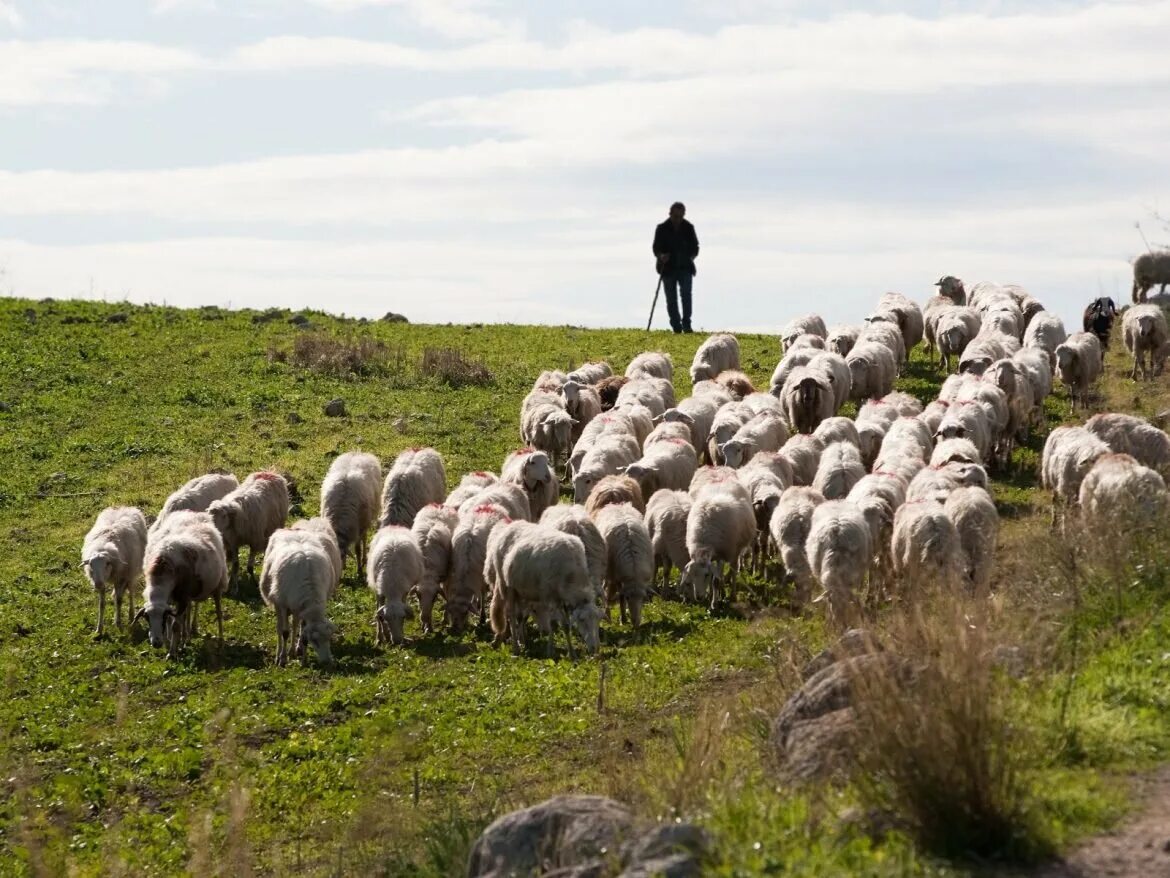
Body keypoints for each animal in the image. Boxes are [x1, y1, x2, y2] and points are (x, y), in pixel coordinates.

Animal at [81, 508, 148, 641]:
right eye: (90, 564)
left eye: (107, 563)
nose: (98, 584)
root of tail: (125, 507)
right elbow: (102, 604)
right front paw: (99, 629)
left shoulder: (121, 578)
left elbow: (119, 600)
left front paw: (118, 624)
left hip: (131, 573)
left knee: (130, 593)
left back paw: (131, 615)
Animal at [138, 508, 228, 655]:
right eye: (147, 618)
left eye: (162, 618)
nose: (156, 643)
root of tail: (195, 514)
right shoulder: (174, 598)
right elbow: (173, 621)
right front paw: (171, 643)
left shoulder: (182, 597)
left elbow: (175, 625)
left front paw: (172, 652)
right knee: (192, 608)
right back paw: (187, 636)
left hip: (217, 585)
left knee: (219, 613)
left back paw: (220, 641)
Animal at [260, 529, 339, 664]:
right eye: (315, 641)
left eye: (329, 638)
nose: (327, 661)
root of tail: (289, 530)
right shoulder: (283, 604)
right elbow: (285, 632)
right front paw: (282, 659)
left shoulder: (303, 608)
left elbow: (303, 635)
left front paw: (304, 659)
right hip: (278, 601)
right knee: (279, 628)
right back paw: (279, 654)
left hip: (296, 606)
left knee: (295, 624)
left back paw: (294, 650)